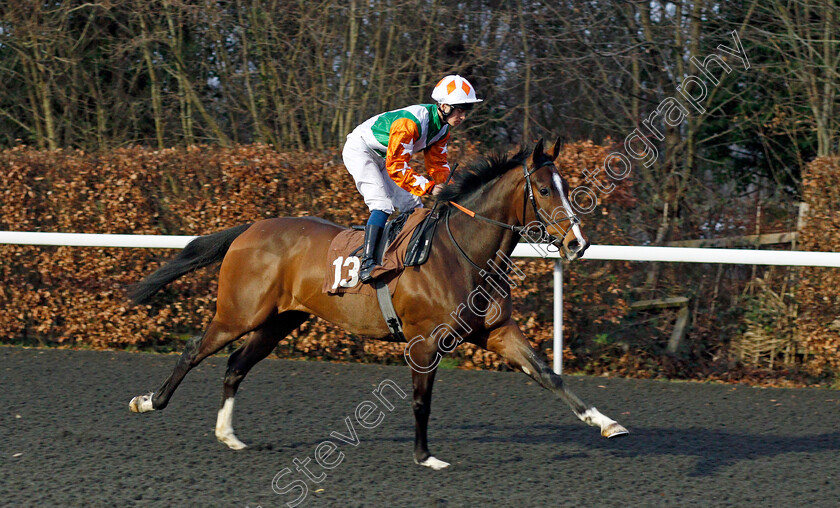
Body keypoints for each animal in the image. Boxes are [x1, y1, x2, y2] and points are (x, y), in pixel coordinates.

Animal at [130, 138, 632, 468]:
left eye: (566, 186)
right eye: (544, 190)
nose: (578, 243)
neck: (460, 252)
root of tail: (250, 228)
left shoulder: (496, 331)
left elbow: (548, 374)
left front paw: (606, 422)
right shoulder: (426, 342)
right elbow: (420, 400)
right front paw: (426, 457)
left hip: (279, 320)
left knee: (236, 364)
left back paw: (229, 436)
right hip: (240, 312)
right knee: (195, 349)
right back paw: (149, 401)